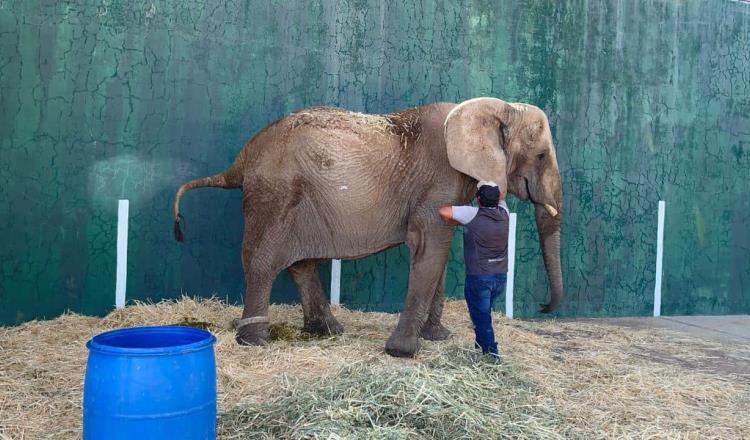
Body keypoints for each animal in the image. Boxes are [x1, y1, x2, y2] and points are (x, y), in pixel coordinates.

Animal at [175, 97, 564, 358]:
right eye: (541, 155)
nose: (544, 307)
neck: (491, 107)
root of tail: (241, 161)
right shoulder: (438, 179)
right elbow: (429, 246)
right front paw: (403, 352)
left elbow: (438, 252)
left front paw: (438, 337)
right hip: (274, 196)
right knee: (262, 261)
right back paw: (255, 341)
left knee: (301, 263)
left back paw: (327, 331)